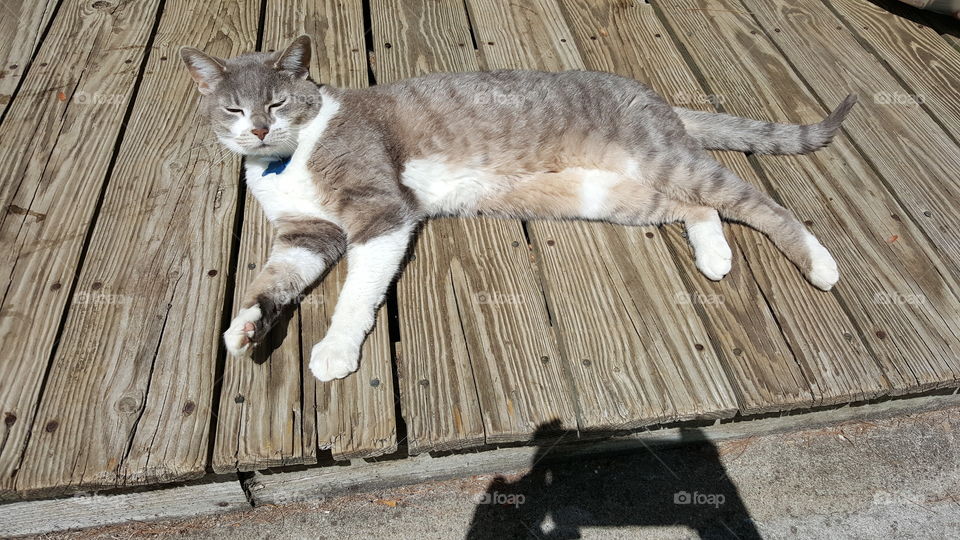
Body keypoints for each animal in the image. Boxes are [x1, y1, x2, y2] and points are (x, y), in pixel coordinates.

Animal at [184, 35, 860, 382]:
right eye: (233, 110)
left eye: (277, 102)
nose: (258, 131)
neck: (289, 159)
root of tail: (657, 99)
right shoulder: (307, 235)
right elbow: (273, 279)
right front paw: (245, 328)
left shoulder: (381, 214)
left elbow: (355, 292)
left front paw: (334, 350)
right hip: (613, 193)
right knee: (695, 206)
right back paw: (715, 254)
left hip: (664, 161)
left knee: (754, 199)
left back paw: (821, 264)